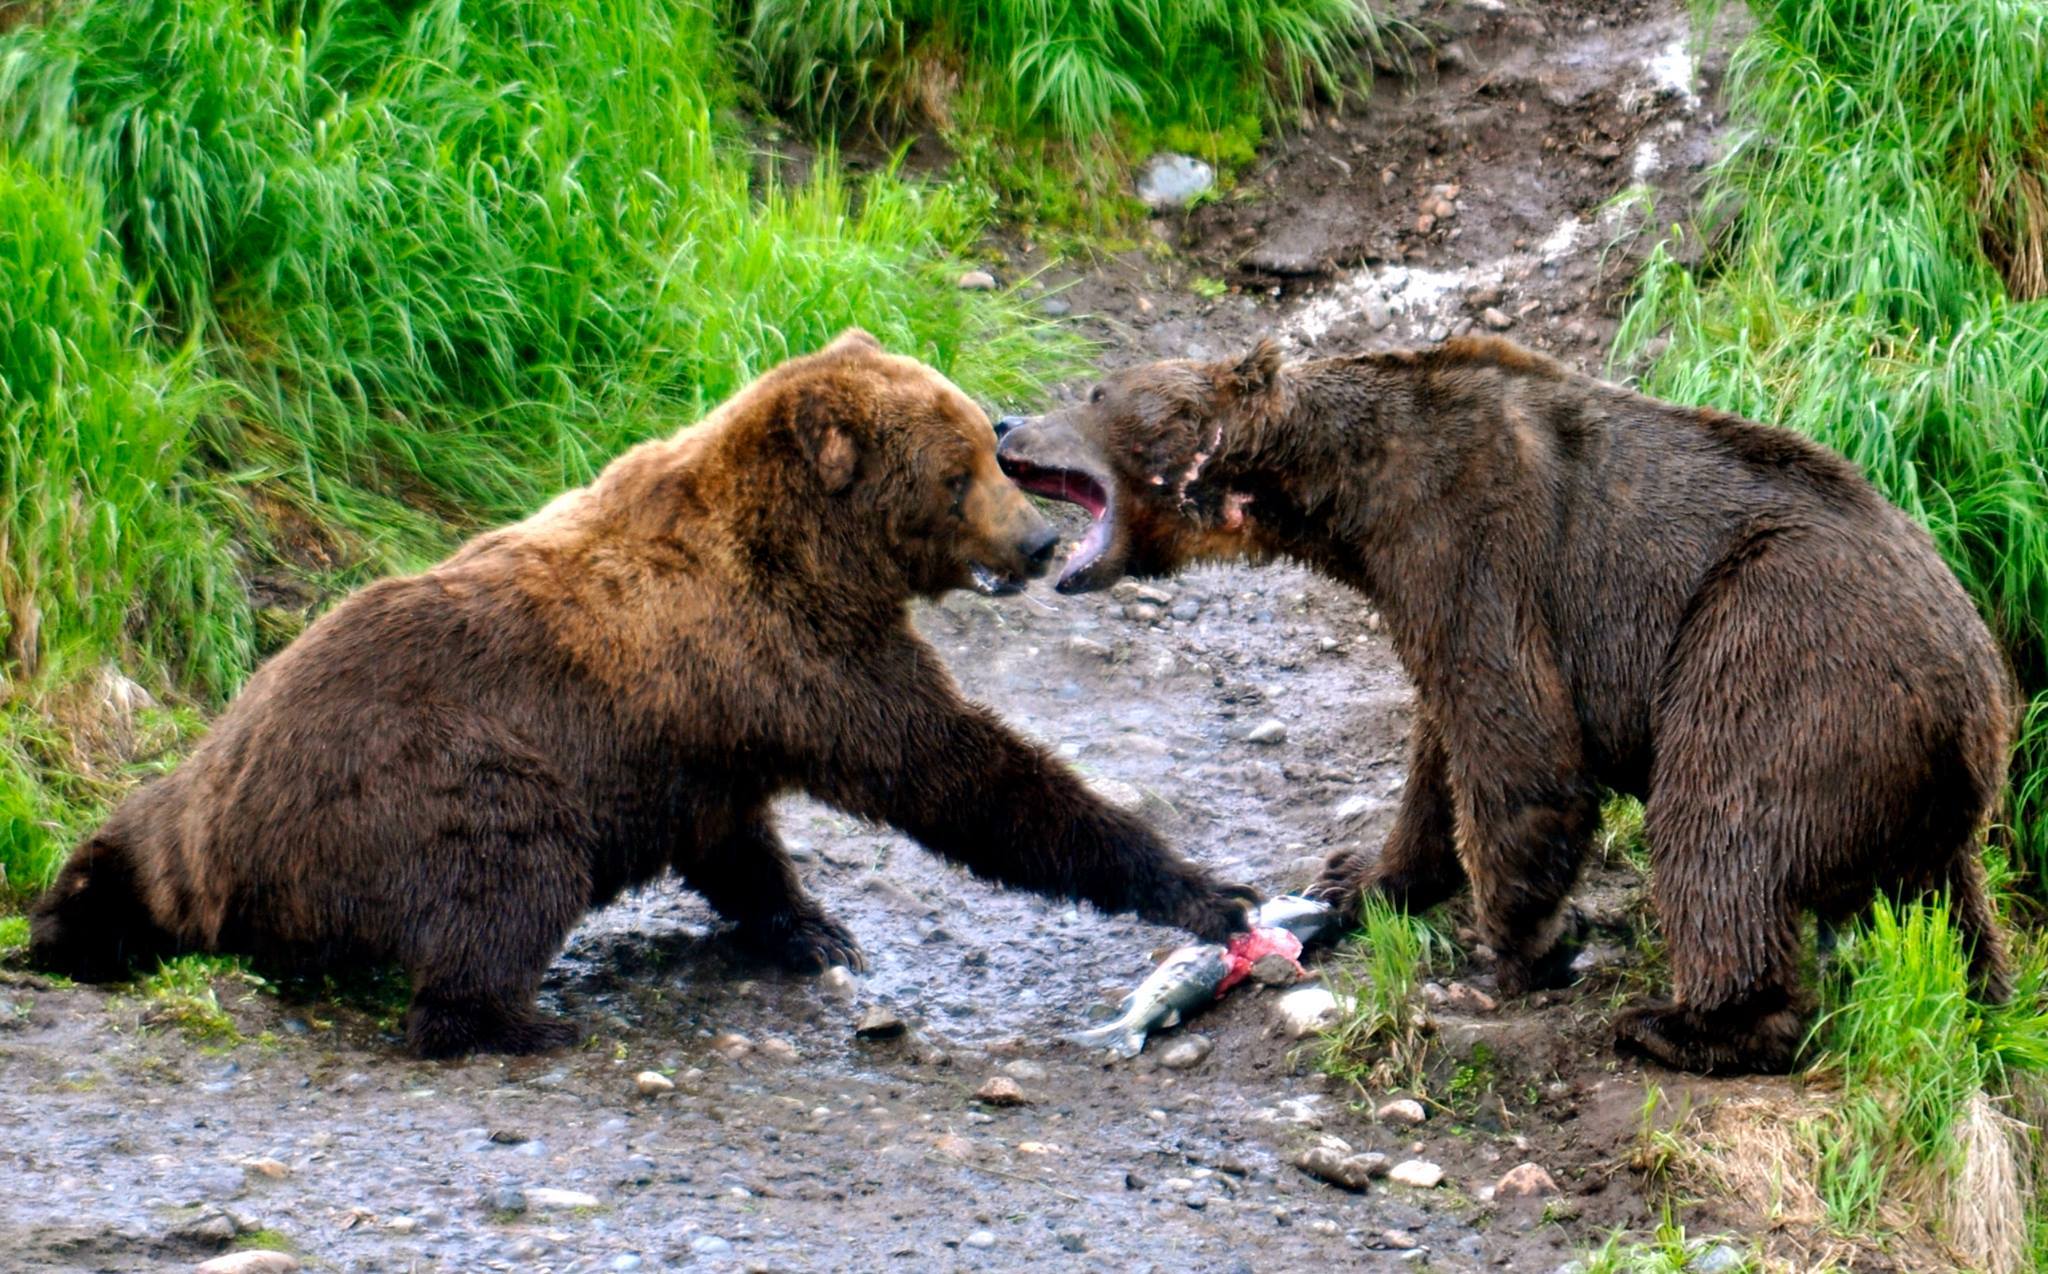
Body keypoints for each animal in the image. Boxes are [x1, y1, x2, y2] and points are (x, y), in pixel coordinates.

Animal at [30, 330, 1257, 1058]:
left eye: (987, 444)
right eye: (959, 472)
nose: (1039, 540)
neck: (823, 554)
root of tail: (227, 839)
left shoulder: (711, 726)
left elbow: (736, 837)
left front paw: (814, 925)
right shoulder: (791, 656)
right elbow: (956, 771)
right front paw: (1202, 888)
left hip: (190, 793)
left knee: (113, 855)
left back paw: (66, 922)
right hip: (416, 782)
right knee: (506, 875)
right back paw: (519, 1021)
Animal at [992, 335, 2014, 1074]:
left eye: (1093, 392)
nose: (1005, 422)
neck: (1348, 496)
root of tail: (1982, 691)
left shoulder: (1471, 547)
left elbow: (1516, 744)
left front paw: (1525, 947)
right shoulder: (1420, 582)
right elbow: (1435, 753)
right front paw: (1359, 875)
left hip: (1781, 640)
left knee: (1723, 830)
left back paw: (1687, 1023)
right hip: (1916, 775)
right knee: (1943, 900)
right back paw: (1981, 996)